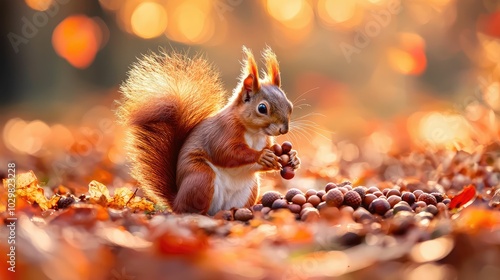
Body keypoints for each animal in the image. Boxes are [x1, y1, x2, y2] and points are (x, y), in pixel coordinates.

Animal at [116, 47, 300, 215]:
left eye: (289, 105)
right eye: (262, 108)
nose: (284, 129)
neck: (254, 132)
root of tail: (176, 201)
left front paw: (293, 158)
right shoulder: (223, 131)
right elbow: (227, 152)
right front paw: (262, 155)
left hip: (250, 189)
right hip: (201, 178)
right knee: (192, 209)